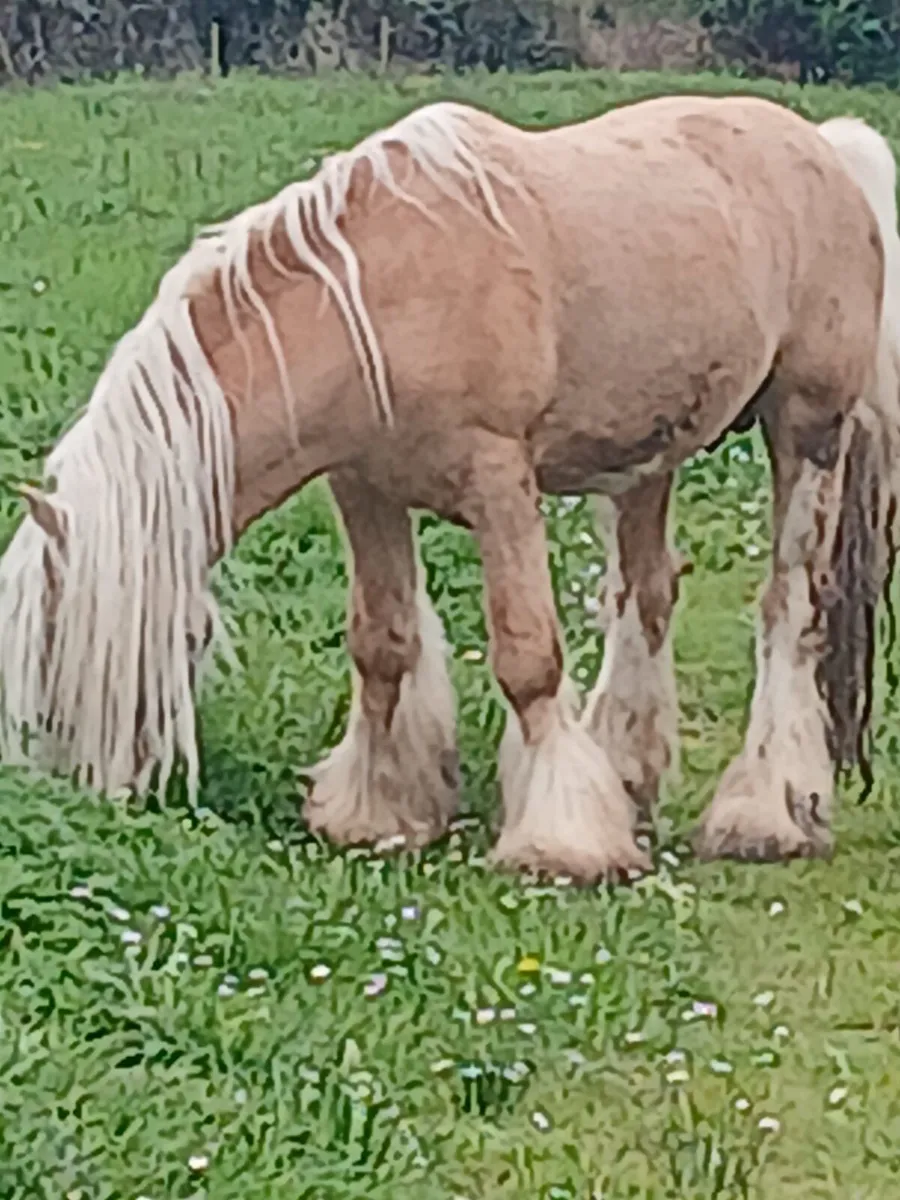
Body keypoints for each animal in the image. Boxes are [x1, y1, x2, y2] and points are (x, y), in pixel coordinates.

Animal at [1, 92, 898, 885]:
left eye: (68, 640)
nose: (90, 789)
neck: (381, 290)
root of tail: (826, 146)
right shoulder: (365, 489)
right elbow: (382, 644)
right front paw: (375, 813)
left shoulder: (500, 487)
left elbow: (528, 657)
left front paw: (562, 842)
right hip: (649, 455)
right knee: (645, 595)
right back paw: (627, 775)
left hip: (807, 428)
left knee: (790, 608)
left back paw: (766, 815)